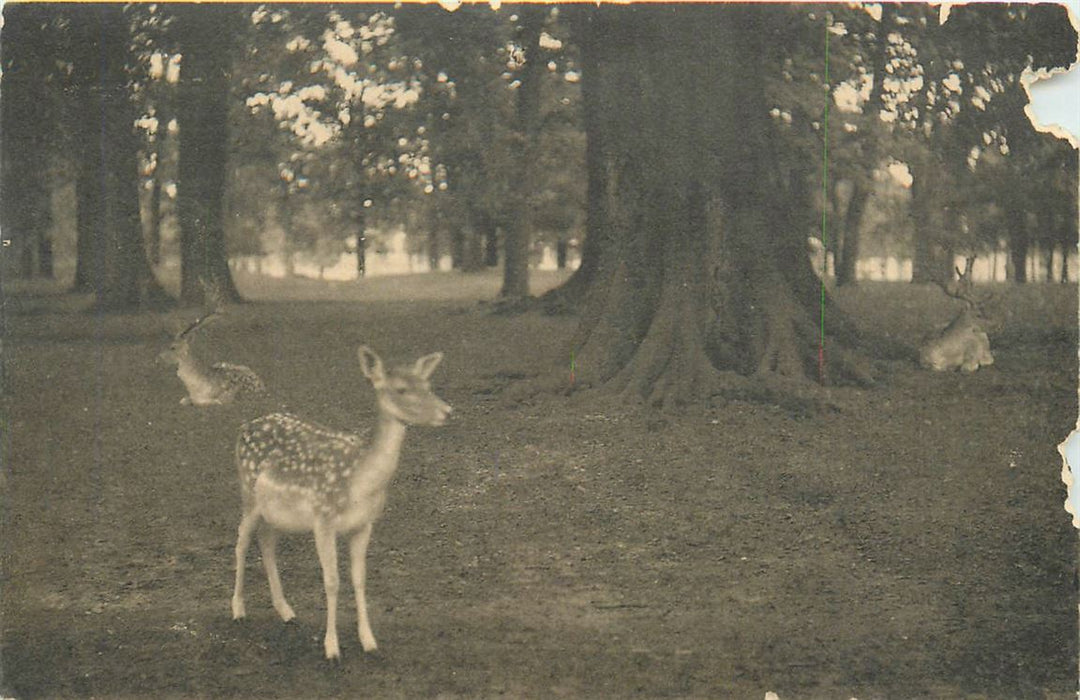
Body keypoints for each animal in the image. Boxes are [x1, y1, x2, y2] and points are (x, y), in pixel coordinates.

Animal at [232, 347, 451, 661]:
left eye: (428, 385)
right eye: (401, 389)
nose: (447, 411)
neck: (359, 483)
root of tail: (244, 427)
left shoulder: (364, 524)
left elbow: (359, 578)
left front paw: (369, 641)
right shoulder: (323, 519)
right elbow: (332, 581)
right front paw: (332, 648)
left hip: (276, 510)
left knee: (266, 541)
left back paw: (286, 610)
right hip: (248, 492)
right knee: (241, 541)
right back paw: (238, 609)